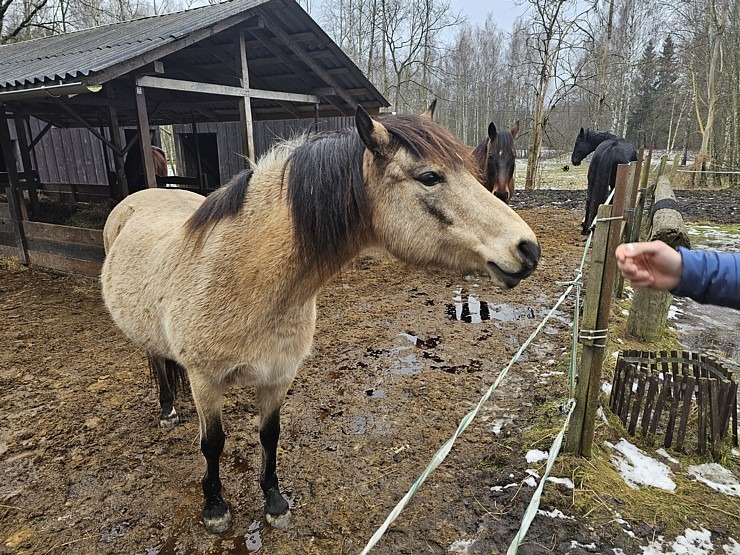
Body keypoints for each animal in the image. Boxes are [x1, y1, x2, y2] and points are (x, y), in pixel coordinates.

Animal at [99, 106, 536, 536]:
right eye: (430, 177)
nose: (528, 249)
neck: (243, 277)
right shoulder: (205, 380)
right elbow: (213, 444)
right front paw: (215, 508)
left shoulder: (278, 375)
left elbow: (269, 435)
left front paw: (274, 501)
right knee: (157, 361)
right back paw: (168, 411)